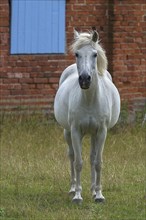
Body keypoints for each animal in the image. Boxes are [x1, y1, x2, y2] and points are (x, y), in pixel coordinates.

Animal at [53, 29, 120, 203]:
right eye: (77, 54)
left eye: (95, 54)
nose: (84, 79)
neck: (89, 99)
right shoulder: (76, 131)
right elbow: (78, 162)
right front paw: (77, 196)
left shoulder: (102, 132)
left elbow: (97, 162)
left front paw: (99, 195)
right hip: (68, 132)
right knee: (71, 156)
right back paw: (72, 188)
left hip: (93, 134)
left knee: (92, 157)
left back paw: (92, 190)